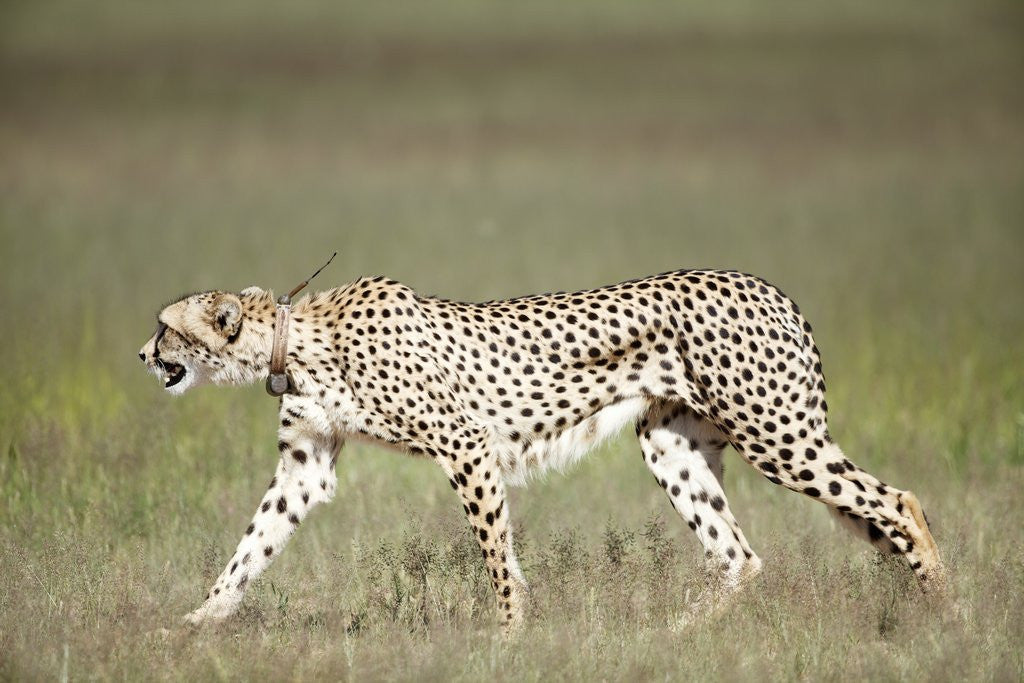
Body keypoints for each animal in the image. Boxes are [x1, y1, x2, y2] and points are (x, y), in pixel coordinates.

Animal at [138, 268, 945, 633]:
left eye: (167, 326)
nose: (143, 354)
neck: (296, 340)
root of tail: (768, 285)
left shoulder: (465, 445)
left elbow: (497, 554)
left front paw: (509, 633)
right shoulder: (305, 466)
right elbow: (250, 548)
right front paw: (193, 627)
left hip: (777, 434)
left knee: (897, 501)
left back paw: (944, 610)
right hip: (671, 445)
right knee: (739, 557)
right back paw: (669, 636)